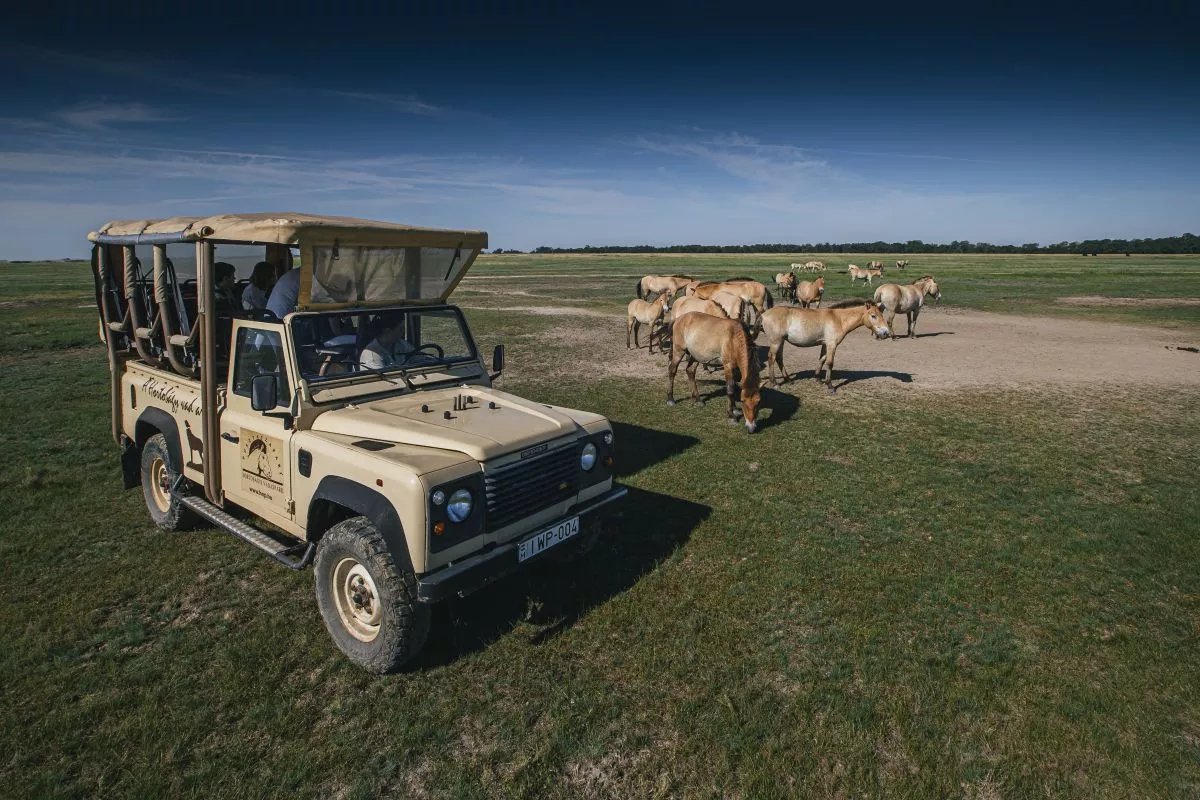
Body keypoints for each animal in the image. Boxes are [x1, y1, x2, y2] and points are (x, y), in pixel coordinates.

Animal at [758, 299, 892, 391]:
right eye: (873, 316)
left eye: (882, 315)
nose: (886, 333)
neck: (838, 319)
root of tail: (764, 314)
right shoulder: (832, 344)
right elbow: (830, 363)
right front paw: (830, 385)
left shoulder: (825, 344)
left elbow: (822, 360)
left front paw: (818, 379)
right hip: (776, 342)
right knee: (771, 358)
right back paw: (775, 383)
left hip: (781, 341)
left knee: (779, 358)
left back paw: (788, 380)